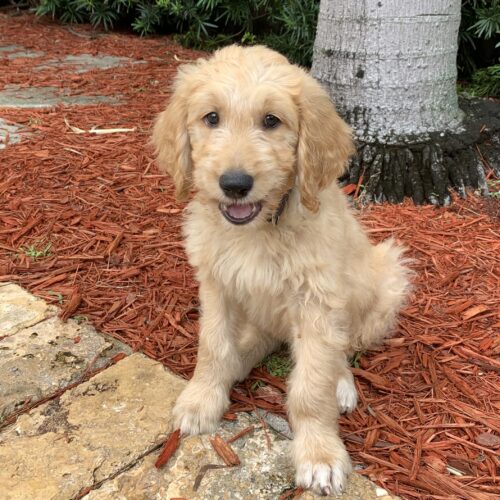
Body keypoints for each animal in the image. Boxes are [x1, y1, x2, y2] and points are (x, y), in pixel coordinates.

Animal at [152, 44, 410, 496]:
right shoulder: (216, 285)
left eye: (271, 121)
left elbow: (311, 386)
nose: (235, 184)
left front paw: (319, 455)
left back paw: (341, 382)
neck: (258, 230)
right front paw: (202, 399)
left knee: (342, 351)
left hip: (387, 276)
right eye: (211, 118)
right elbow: (213, 346)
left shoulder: (317, 302)